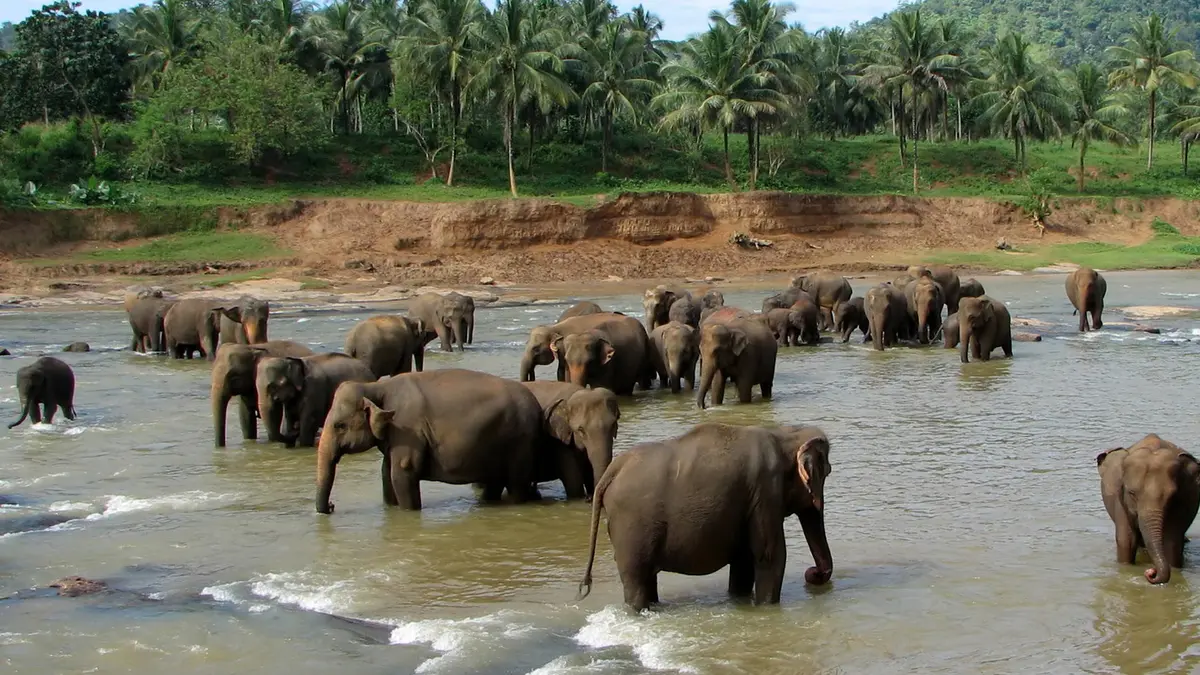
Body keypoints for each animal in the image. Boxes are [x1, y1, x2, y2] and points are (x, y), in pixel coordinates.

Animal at [315, 369, 543, 513]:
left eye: (339, 426)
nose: (332, 506)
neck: (376, 387)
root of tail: (535, 403)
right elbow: (386, 473)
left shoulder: (407, 428)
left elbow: (403, 471)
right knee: (495, 482)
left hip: (520, 440)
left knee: (515, 484)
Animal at [577, 423, 833, 611]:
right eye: (827, 472)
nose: (812, 573)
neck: (785, 434)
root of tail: (613, 469)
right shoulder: (766, 491)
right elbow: (769, 557)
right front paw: (766, 608)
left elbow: (743, 561)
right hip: (631, 527)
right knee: (636, 581)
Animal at [1098, 434, 1200, 585]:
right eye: (1131, 493)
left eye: (1171, 496)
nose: (1150, 572)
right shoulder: (1119, 499)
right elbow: (1126, 540)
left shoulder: (1183, 499)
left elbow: (1171, 542)